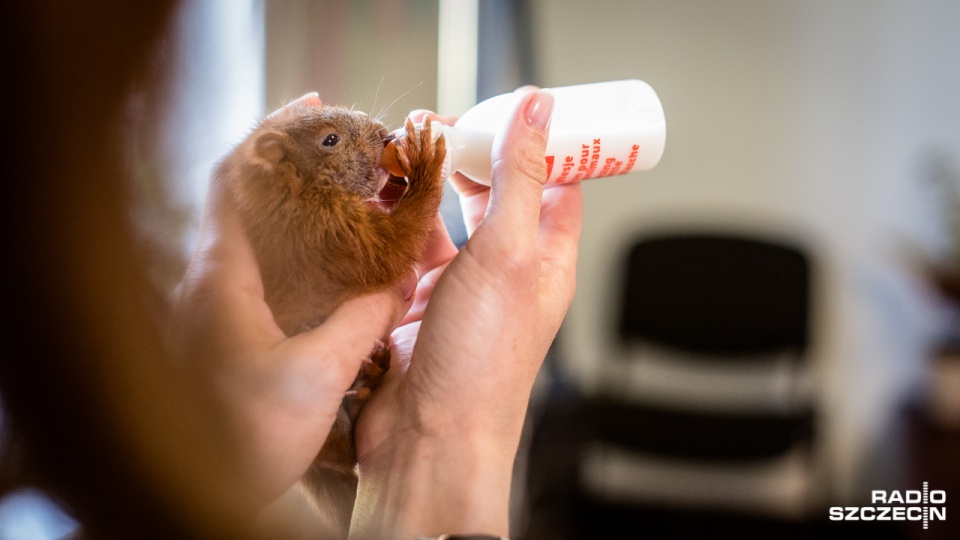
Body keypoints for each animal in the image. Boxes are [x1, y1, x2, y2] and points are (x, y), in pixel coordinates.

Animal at [214, 98, 446, 536]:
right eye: (330, 141)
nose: (384, 135)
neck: (297, 190)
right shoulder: (327, 234)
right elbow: (390, 248)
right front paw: (427, 164)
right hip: (321, 429)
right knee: (345, 452)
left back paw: (372, 373)